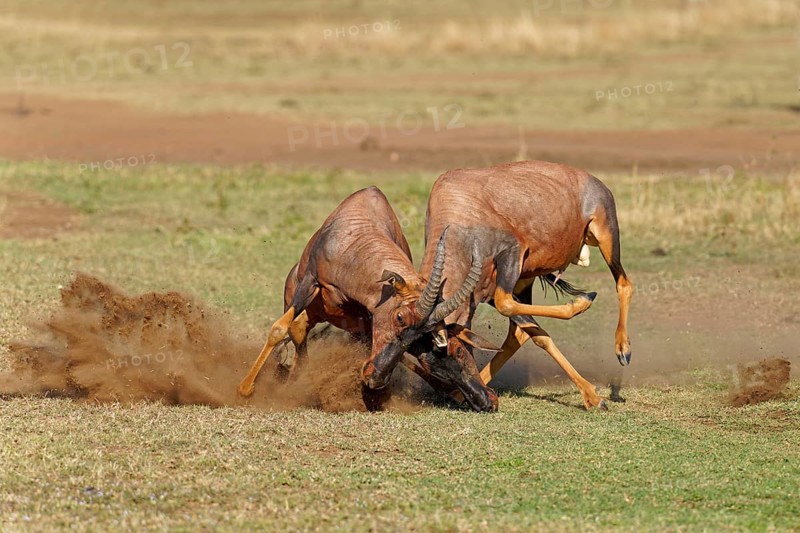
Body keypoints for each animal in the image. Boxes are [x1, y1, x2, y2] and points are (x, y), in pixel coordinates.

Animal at [236, 186, 498, 412]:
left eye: (422, 336)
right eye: (400, 317)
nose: (375, 378)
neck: (355, 236)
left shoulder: (367, 319)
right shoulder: (310, 280)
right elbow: (279, 328)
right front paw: (245, 390)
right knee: (297, 330)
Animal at [416, 160, 634, 410]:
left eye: (456, 351)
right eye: (428, 362)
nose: (481, 403)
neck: (459, 204)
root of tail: (594, 180)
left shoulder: (512, 253)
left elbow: (505, 304)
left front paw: (582, 302)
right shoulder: (486, 290)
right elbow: (535, 332)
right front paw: (592, 396)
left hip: (606, 236)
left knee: (624, 284)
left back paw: (623, 350)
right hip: (524, 278)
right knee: (519, 333)